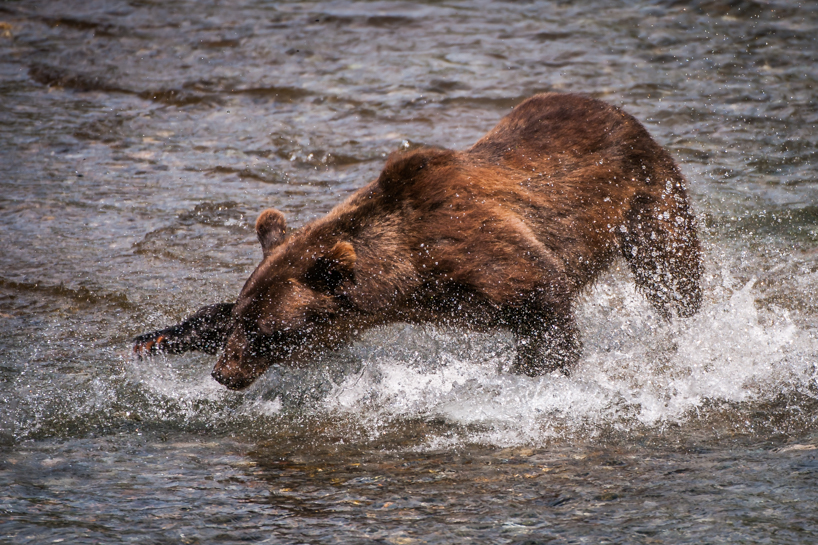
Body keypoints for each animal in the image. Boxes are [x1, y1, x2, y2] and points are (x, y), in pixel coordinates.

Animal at [133, 93, 703, 390]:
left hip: (648, 199)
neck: (406, 276)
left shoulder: (480, 248)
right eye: (241, 322)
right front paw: (156, 338)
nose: (223, 373)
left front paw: (527, 373)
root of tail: (618, 111)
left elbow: (542, 301)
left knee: (673, 273)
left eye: (268, 333)